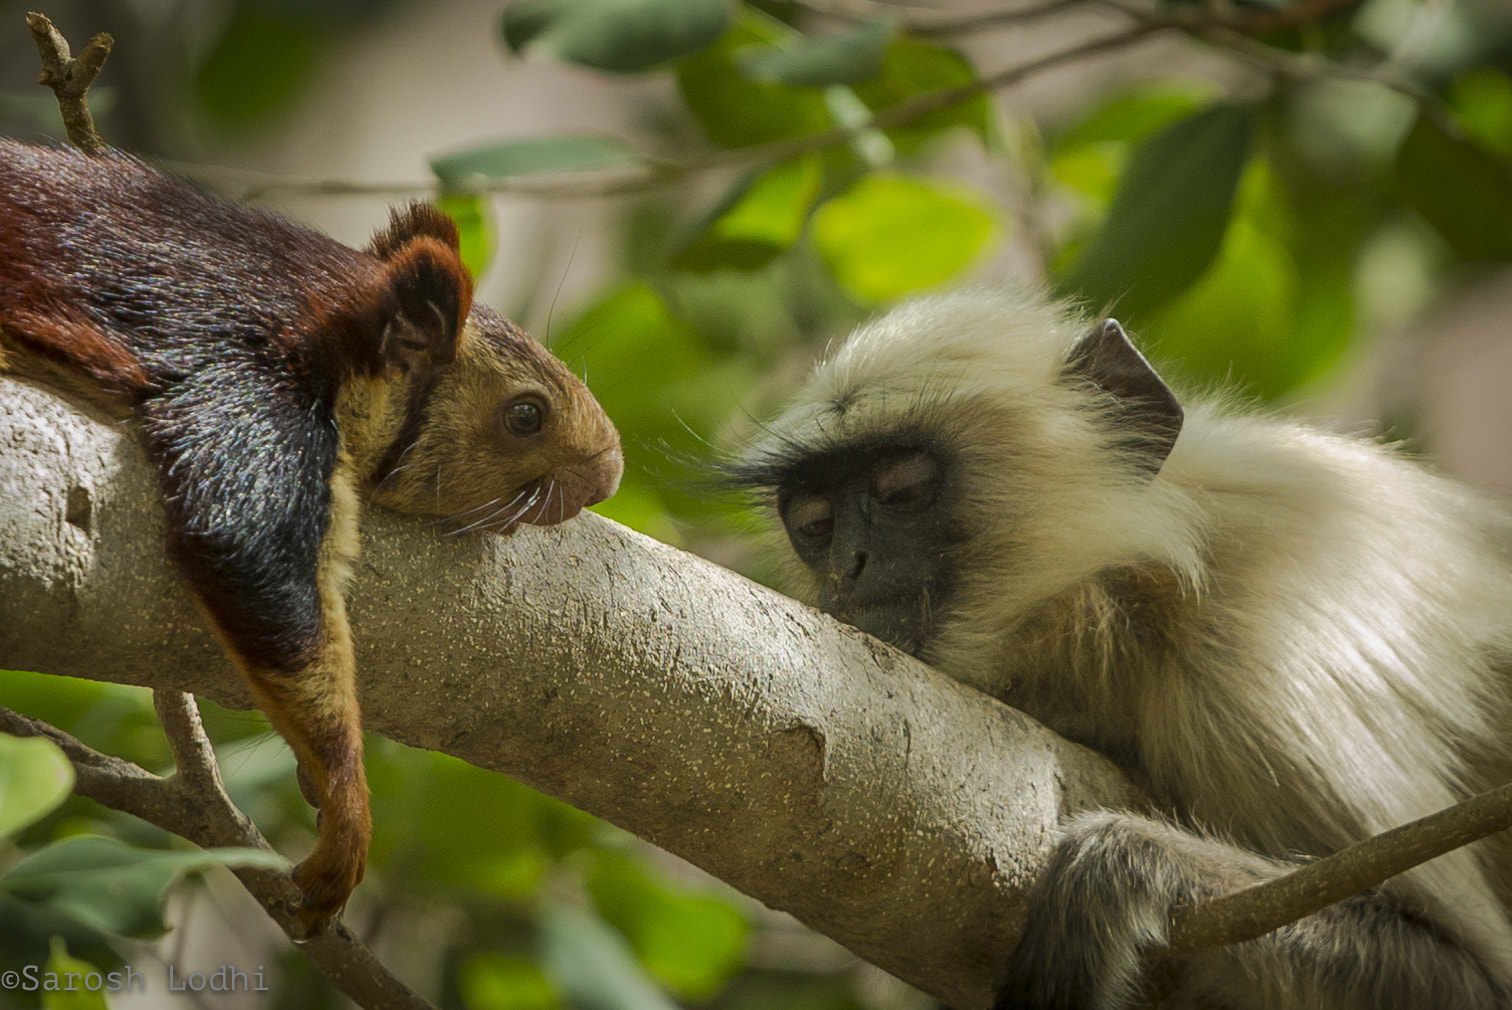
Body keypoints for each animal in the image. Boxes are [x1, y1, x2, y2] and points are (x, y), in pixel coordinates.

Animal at [725, 285, 1512, 1010]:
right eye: (815, 522)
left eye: (902, 488)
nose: (847, 567)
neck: (1115, 600)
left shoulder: (1257, 667)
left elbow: (1479, 974)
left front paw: (1115, 871)